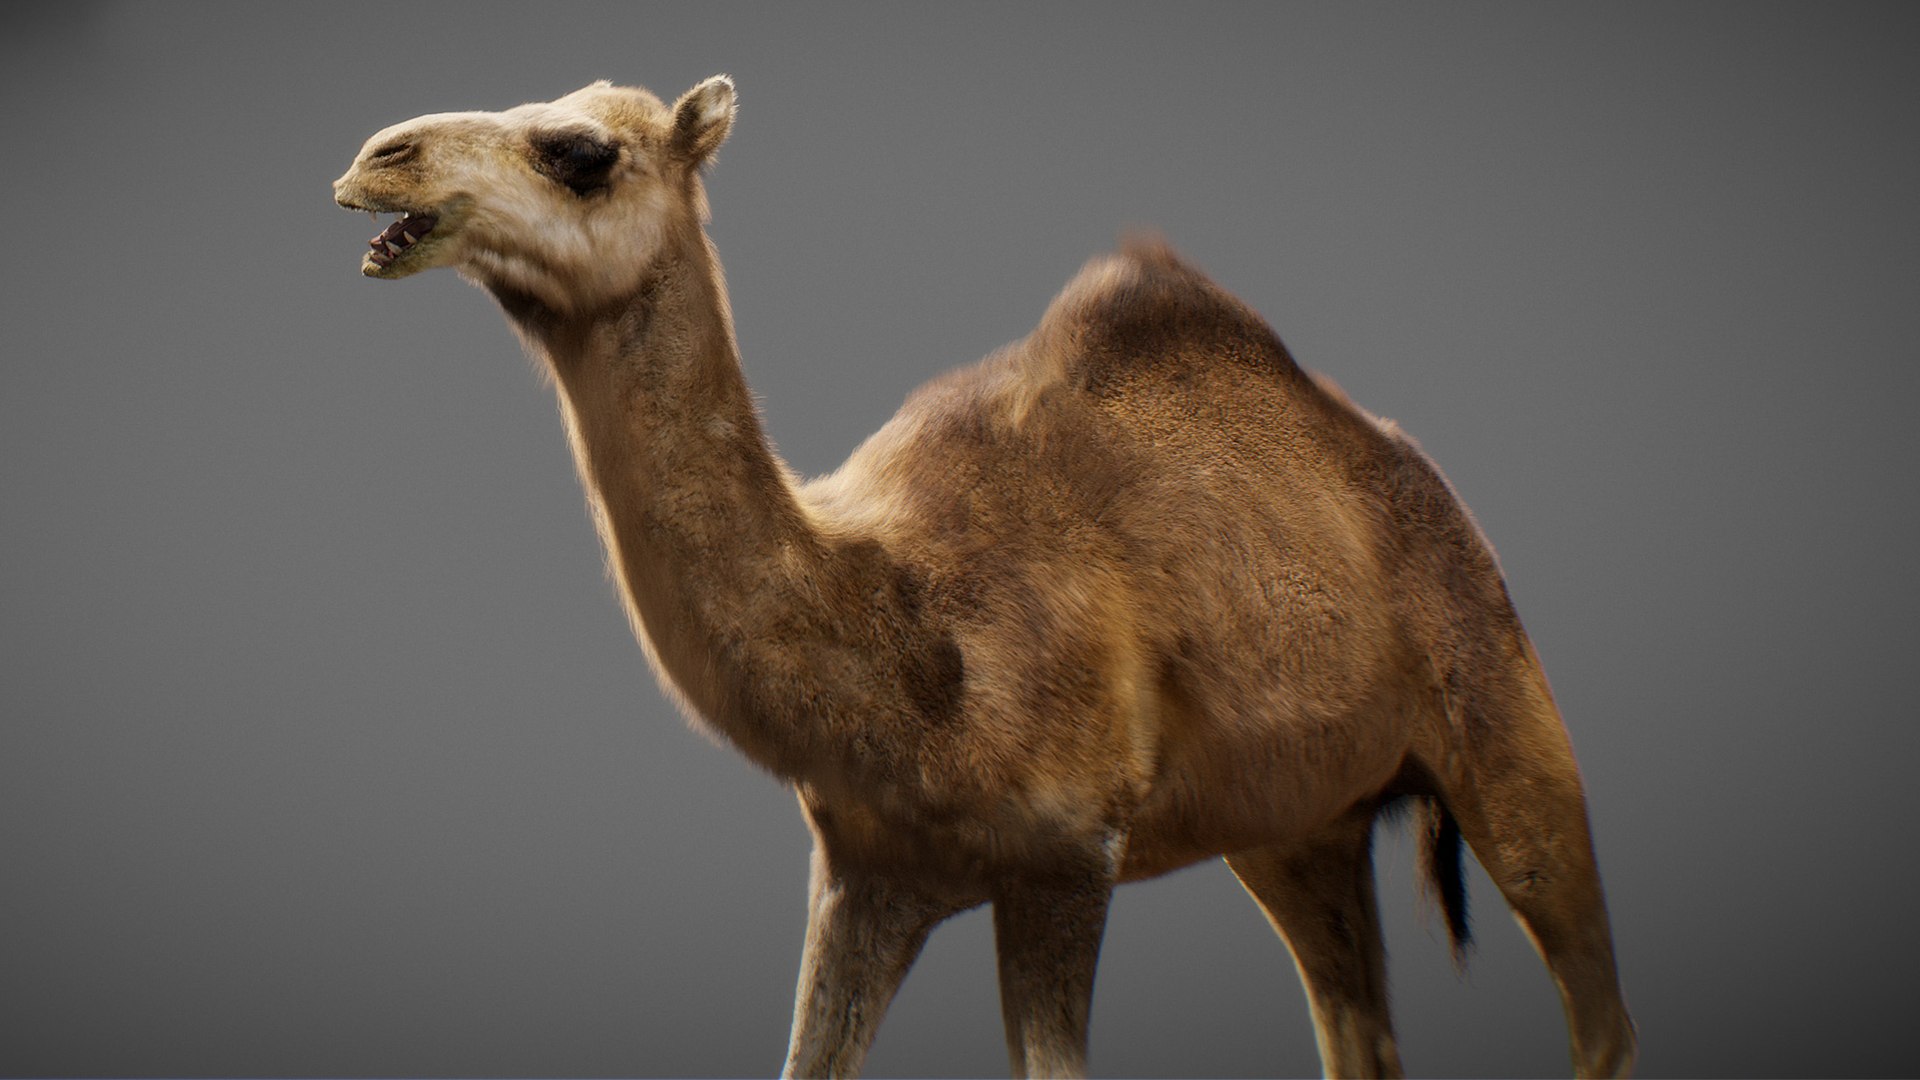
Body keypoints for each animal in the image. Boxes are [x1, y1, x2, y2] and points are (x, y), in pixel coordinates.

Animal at [332, 76, 1636, 1079]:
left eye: (582, 153)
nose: (375, 159)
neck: (902, 631)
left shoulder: (1067, 860)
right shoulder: (867, 878)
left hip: (1501, 703)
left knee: (1593, 997)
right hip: (1299, 826)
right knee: (1359, 1027)